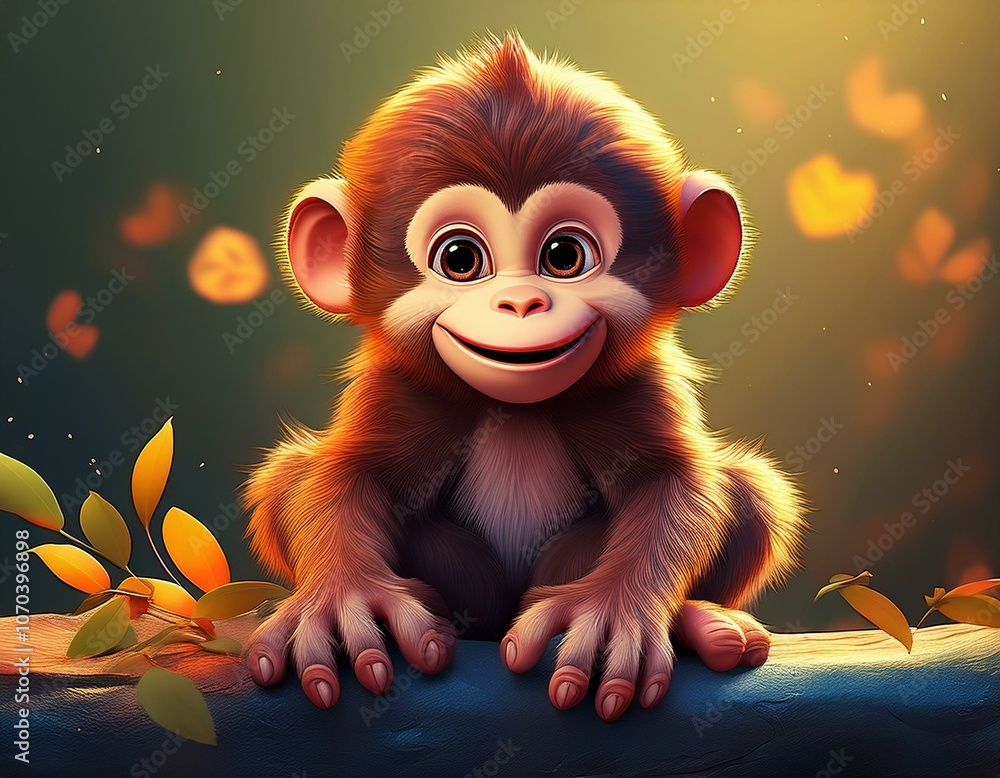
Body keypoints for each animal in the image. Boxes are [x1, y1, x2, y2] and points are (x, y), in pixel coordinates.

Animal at [243, 32, 806, 722]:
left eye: (565, 255)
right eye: (460, 258)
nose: (520, 304)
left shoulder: (637, 384)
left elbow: (674, 482)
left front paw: (612, 611)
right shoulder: (401, 386)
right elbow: (348, 476)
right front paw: (343, 597)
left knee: (751, 491)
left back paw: (703, 623)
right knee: (288, 476)